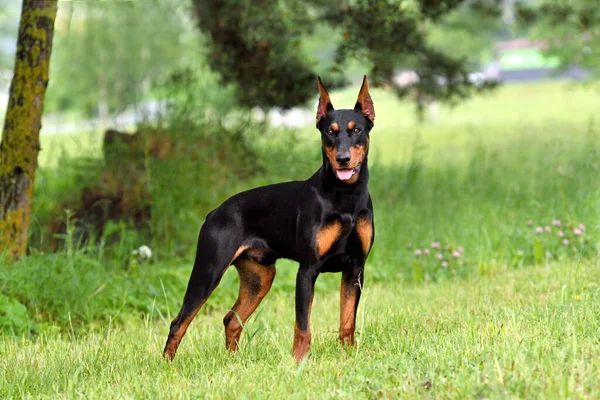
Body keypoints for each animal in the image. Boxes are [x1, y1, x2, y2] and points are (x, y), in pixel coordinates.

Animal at [162, 75, 372, 362]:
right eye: (329, 132)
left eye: (357, 130)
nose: (343, 159)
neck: (344, 196)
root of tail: (214, 212)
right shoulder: (307, 270)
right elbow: (302, 326)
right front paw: (299, 362)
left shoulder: (355, 268)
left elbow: (347, 321)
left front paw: (349, 355)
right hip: (208, 272)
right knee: (179, 322)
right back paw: (167, 364)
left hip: (259, 278)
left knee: (231, 319)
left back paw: (233, 362)